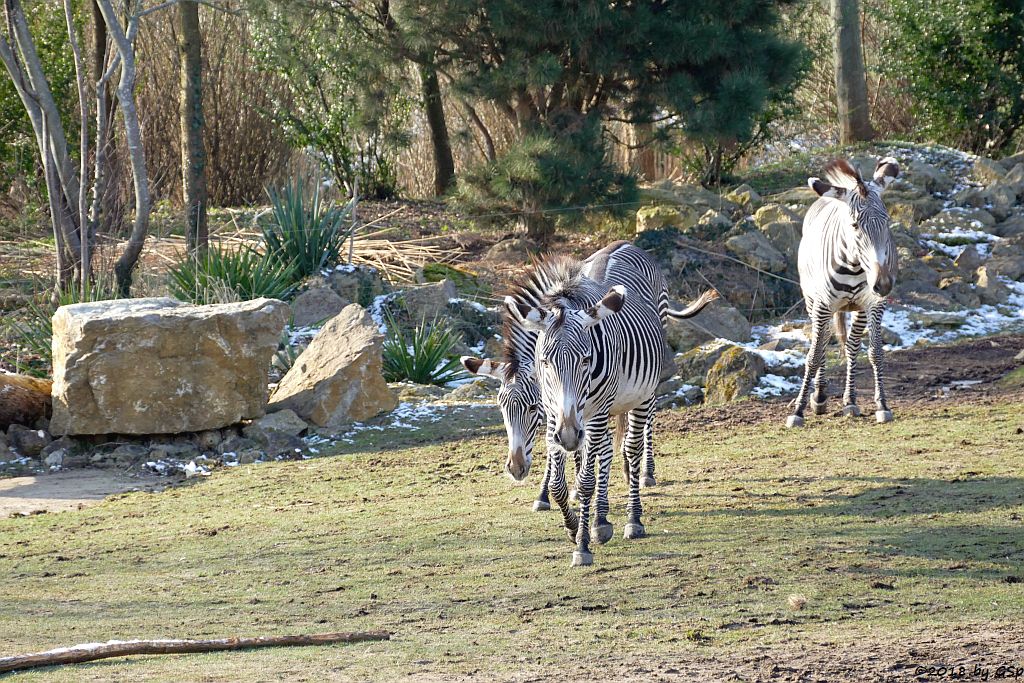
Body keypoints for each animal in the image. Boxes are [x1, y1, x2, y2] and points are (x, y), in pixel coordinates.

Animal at [786, 157, 901, 430]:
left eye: (887, 221)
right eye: (855, 225)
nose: (883, 284)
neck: (854, 265)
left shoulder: (874, 304)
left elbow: (875, 353)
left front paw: (882, 405)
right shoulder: (822, 305)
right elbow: (814, 355)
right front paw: (799, 410)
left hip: (857, 309)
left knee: (851, 346)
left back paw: (850, 401)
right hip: (812, 302)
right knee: (823, 342)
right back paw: (819, 397)